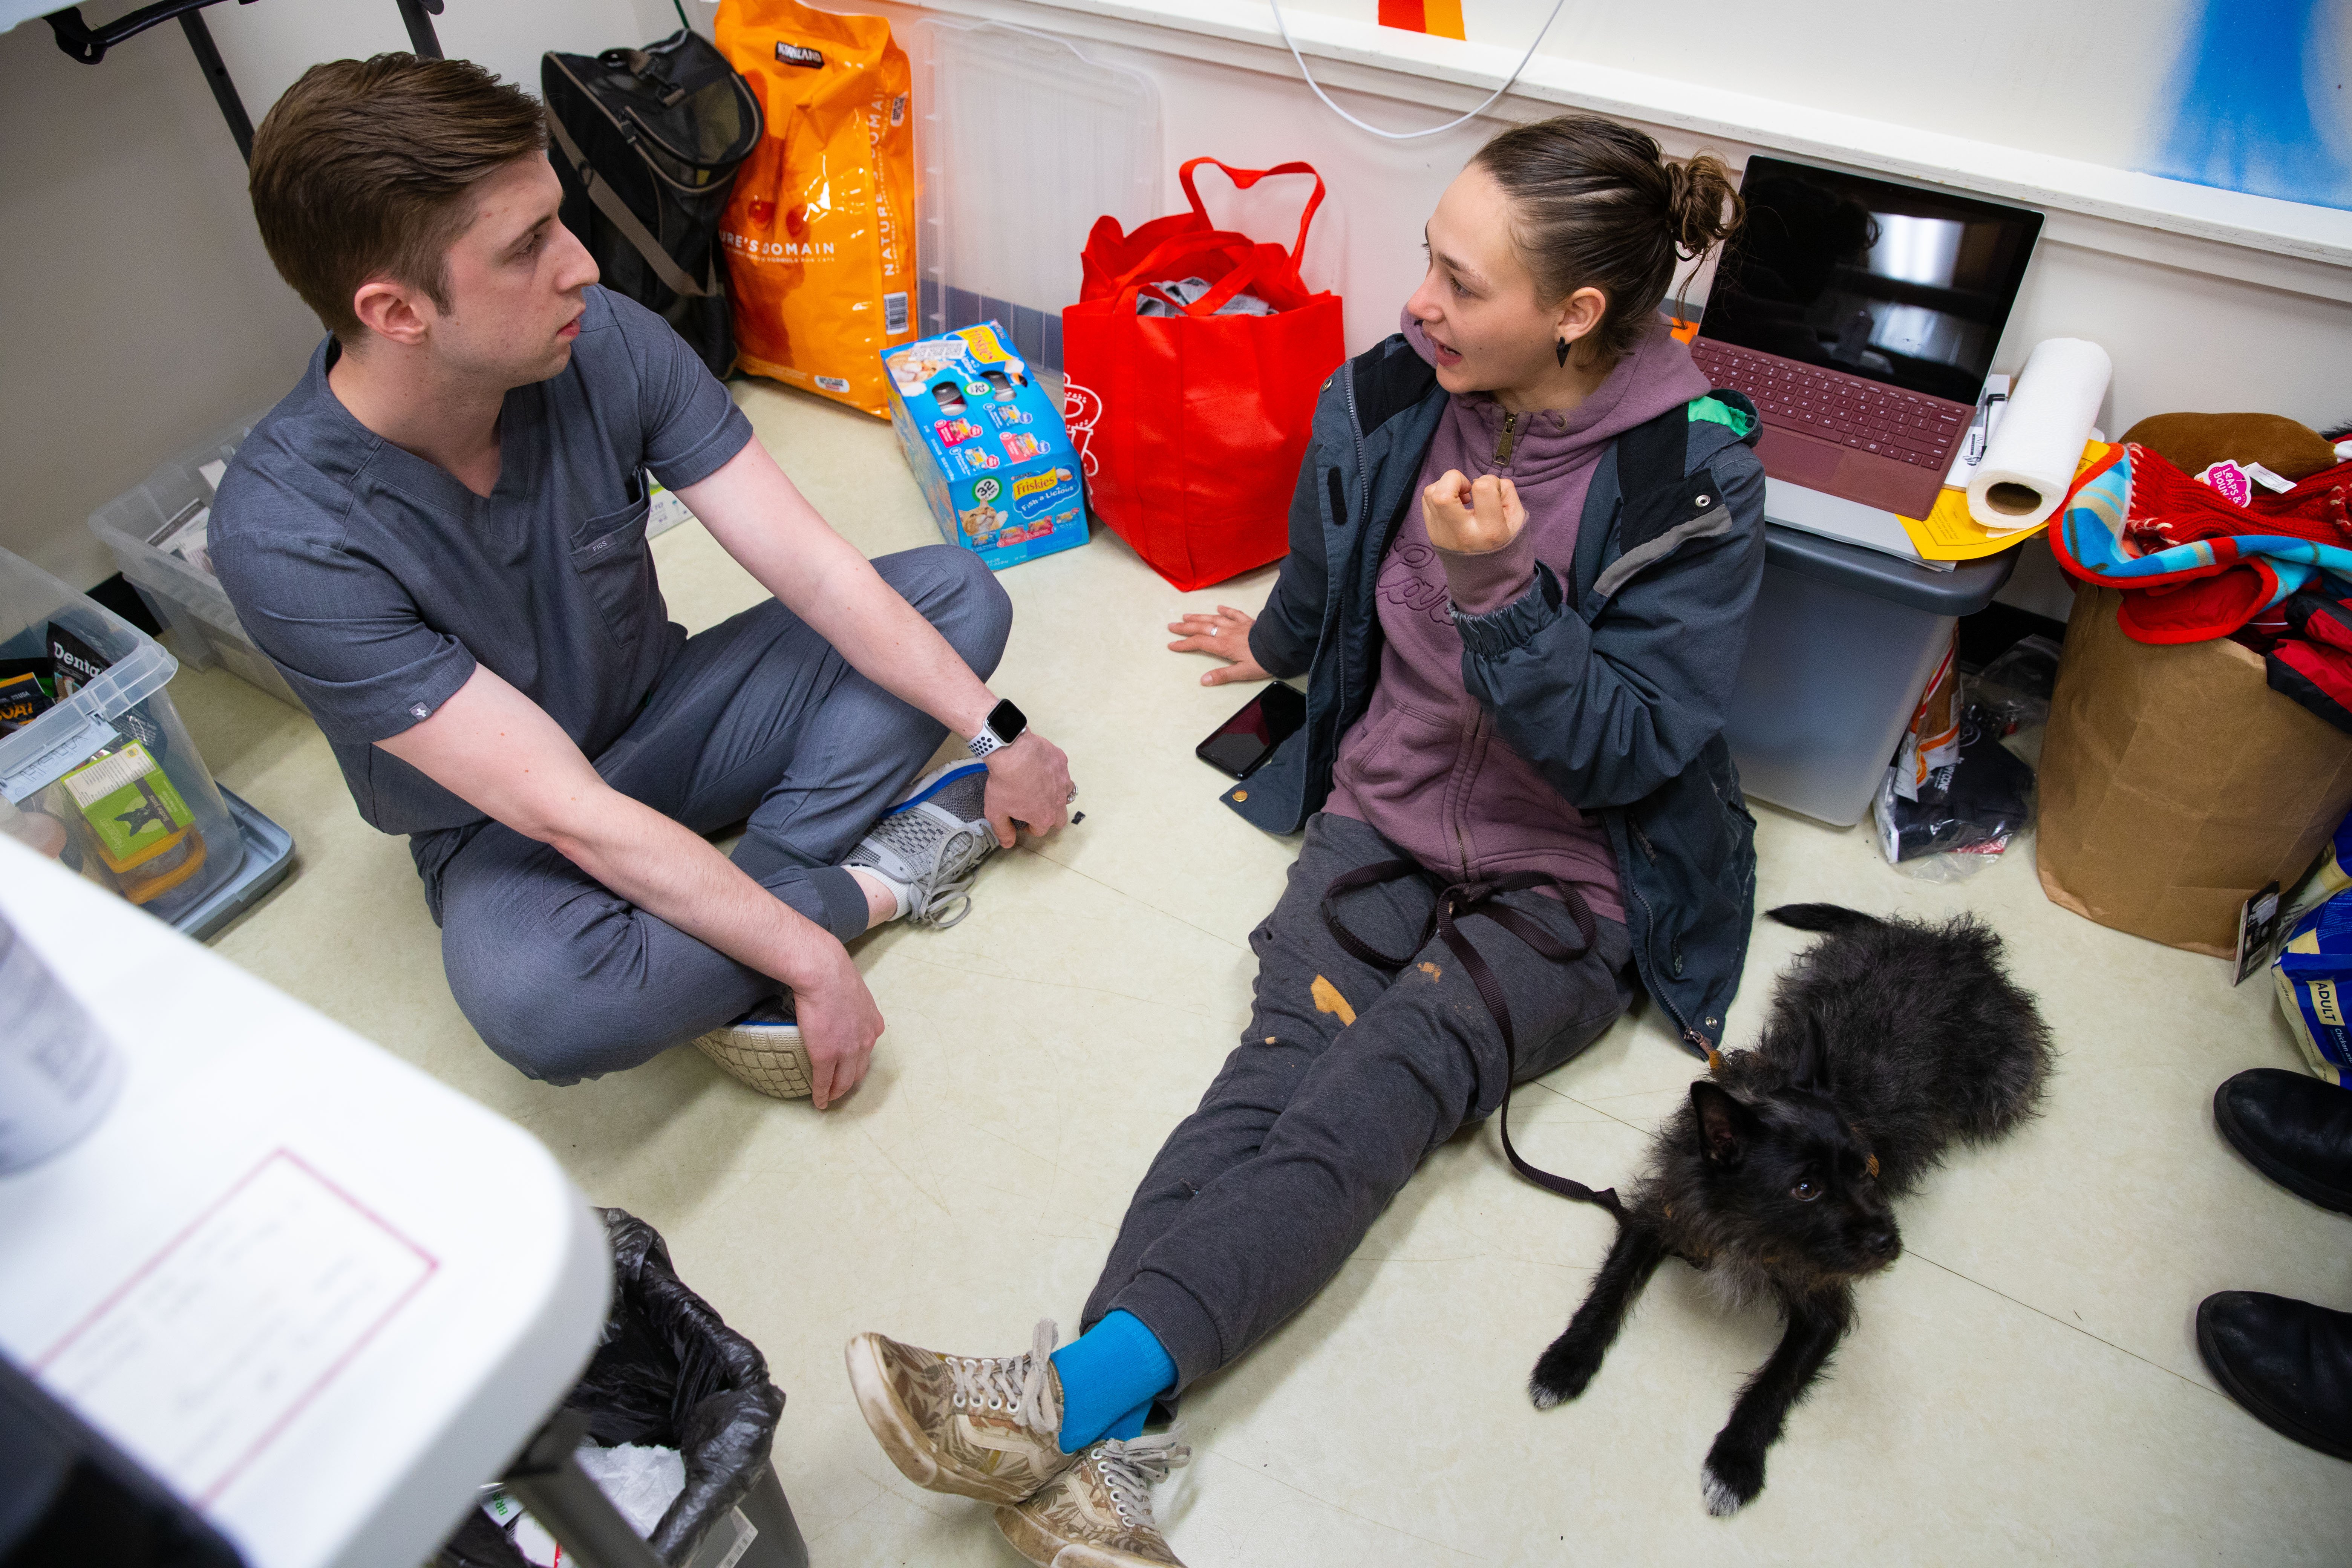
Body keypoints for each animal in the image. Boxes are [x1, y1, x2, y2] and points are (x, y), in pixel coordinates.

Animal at [1533, 902, 2051, 1514]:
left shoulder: (1823, 1306)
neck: (1748, 1226)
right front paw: (1565, 1362)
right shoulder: (1659, 1216)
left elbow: (1775, 1381)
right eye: (1806, 1188)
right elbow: (1608, 1291)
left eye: (1866, 1168)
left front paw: (1735, 1462)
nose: (1889, 1244)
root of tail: (1954, 946)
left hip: (2002, 1086)